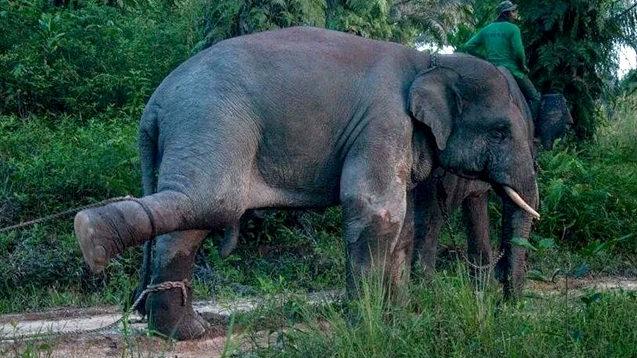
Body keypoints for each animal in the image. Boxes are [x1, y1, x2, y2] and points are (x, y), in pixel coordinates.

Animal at [74, 26, 540, 340]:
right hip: (209, 121)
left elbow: (402, 225)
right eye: (501, 132)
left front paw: (399, 317)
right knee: (210, 201)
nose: (508, 304)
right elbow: (375, 209)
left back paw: (177, 328)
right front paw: (366, 325)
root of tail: (155, 103)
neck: (431, 62)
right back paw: (94, 237)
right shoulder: (384, 122)